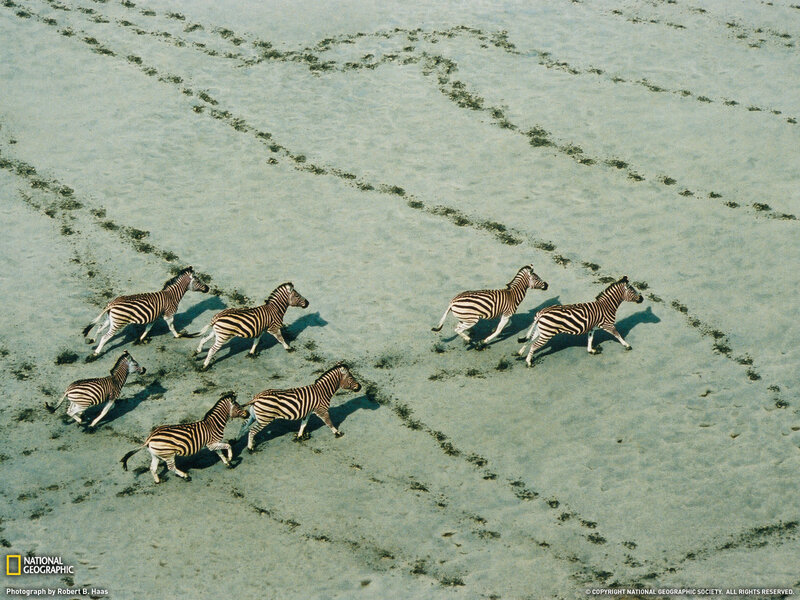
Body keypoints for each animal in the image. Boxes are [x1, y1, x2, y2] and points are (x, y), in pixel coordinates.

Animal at [120, 391, 248, 483]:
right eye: (238, 406)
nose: (247, 414)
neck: (213, 424)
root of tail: (150, 438)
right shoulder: (212, 443)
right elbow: (228, 445)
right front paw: (231, 458)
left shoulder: (214, 444)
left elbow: (220, 453)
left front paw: (228, 463)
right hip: (168, 454)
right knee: (171, 467)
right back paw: (185, 476)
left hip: (156, 454)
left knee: (153, 468)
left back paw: (158, 481)